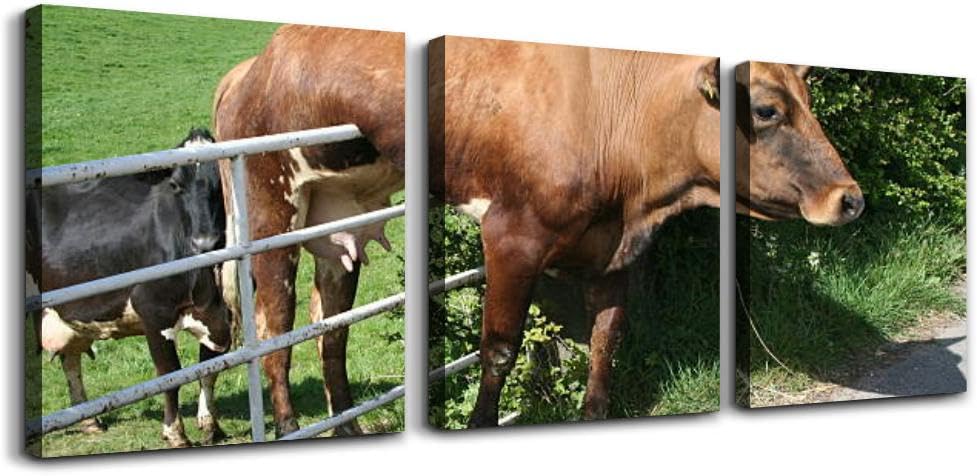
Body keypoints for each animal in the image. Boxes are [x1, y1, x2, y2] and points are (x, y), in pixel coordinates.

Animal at [27, 128, 231, 447]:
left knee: (70, 360)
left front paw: (210, 424)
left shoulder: (223, 314)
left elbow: (210, 367)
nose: (205, 242)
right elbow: (170, 374)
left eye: (221, 179)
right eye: (175, 185)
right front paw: (175, 432)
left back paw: (89, 421)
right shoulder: (153, 311)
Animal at [213, 25, 404, 438]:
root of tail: (248, 70)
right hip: (271, 217)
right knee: (274, 328)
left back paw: (347, 425)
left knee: (330, 330)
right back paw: (287, 425)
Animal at [428, 37, 863, 427]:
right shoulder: (511, 240)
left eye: (808, 101)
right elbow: (498, 351)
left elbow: (605, 340)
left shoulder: (611, 251)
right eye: (766, 109)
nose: (851, 199)